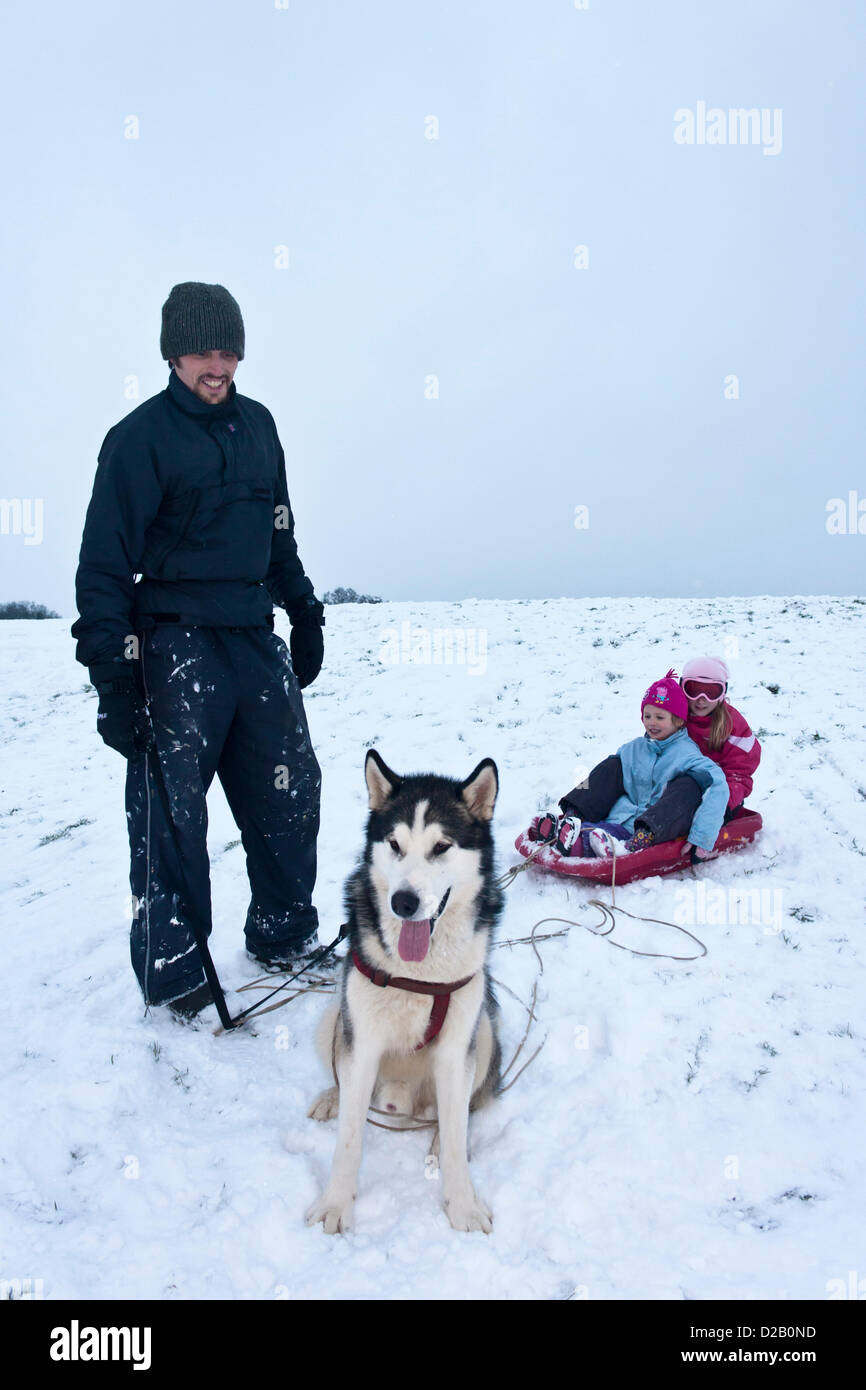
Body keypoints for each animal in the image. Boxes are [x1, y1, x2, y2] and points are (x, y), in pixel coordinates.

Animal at [308, 750, 505, 1239]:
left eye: (441, 847)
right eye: (395, 844)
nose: (403, 902)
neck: (418, 975)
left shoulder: (457, 1048)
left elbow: (456, 1130)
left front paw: (463, 1204)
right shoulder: (360, 1042)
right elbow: (349, 1138)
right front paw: (337, 1203)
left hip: (484, 1031)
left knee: (463, 1109)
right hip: (334, 1018)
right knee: (340, 1072)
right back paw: (331, 1096)